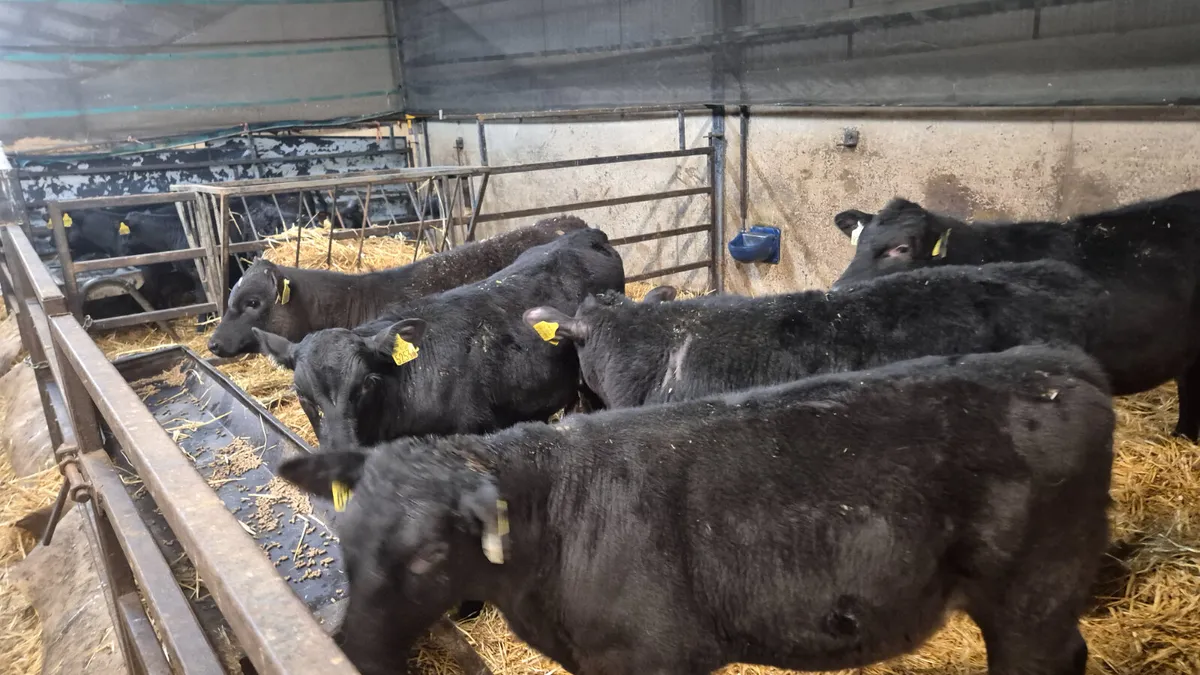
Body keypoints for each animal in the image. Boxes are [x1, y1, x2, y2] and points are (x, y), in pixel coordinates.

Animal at [278, 344, 1114, 675]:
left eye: (428, 555)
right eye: (346, 541)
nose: (346, 649)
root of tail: (1052, 363)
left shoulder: (657, 656)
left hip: (1033, 598)